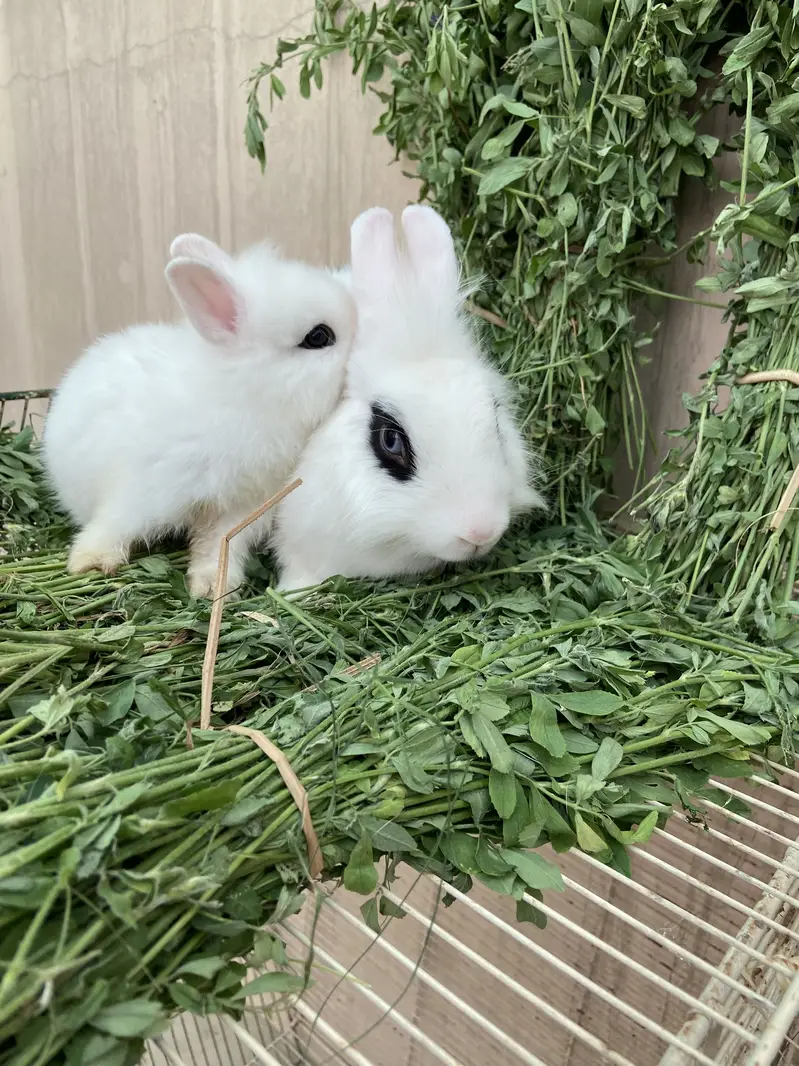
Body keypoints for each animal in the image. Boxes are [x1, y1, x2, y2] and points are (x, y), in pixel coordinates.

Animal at [42, 232, 356, 598]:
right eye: (318, 336)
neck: (248, 398)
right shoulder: (151, 486)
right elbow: (117, 521)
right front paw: (90, 562)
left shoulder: (242, 507)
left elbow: (220, 545)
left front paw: (212, 587)